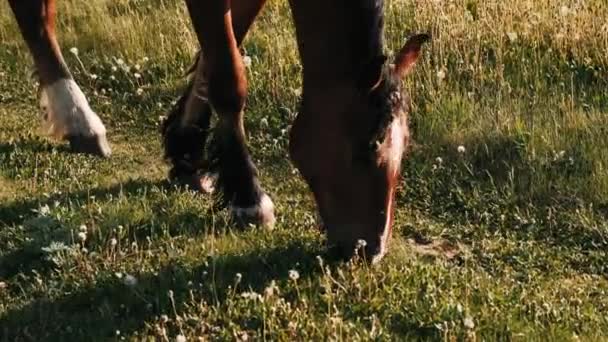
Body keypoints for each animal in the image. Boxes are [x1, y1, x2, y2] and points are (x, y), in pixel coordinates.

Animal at [9, 0, 428, 264]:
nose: (371, 249)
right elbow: (229, 76)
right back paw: (77, 117)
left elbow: (219, 53)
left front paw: (187, 151)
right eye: (373, 142)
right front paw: (247, 195)